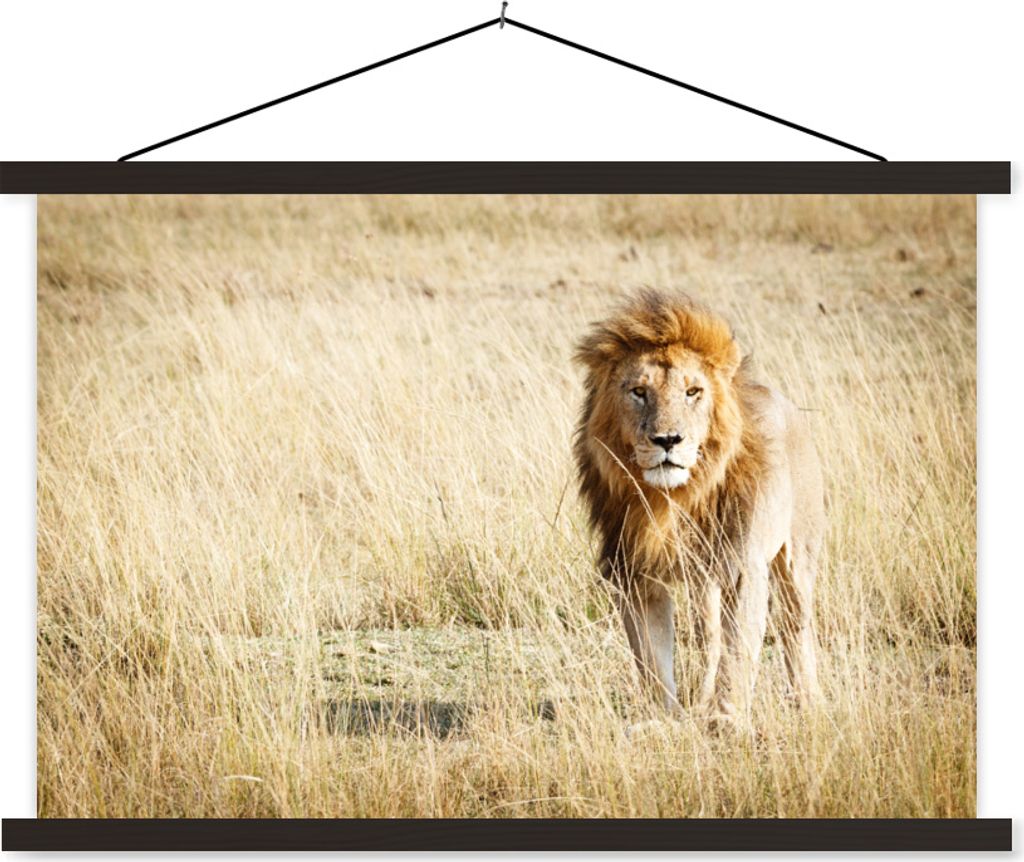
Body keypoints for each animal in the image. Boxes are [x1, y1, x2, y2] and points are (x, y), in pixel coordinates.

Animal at [574, 290, 824, 721]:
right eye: (639, 392)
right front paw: (662, 719)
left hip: (797, 556)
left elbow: (738, 653)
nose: (667, 440)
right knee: (709, 635)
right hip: (703, 577)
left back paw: (808, 701)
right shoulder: (634, 572)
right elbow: (652, 659)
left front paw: (726, 720)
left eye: (693, 392)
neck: (672, 498)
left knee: (796, 627)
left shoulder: (743, 567)